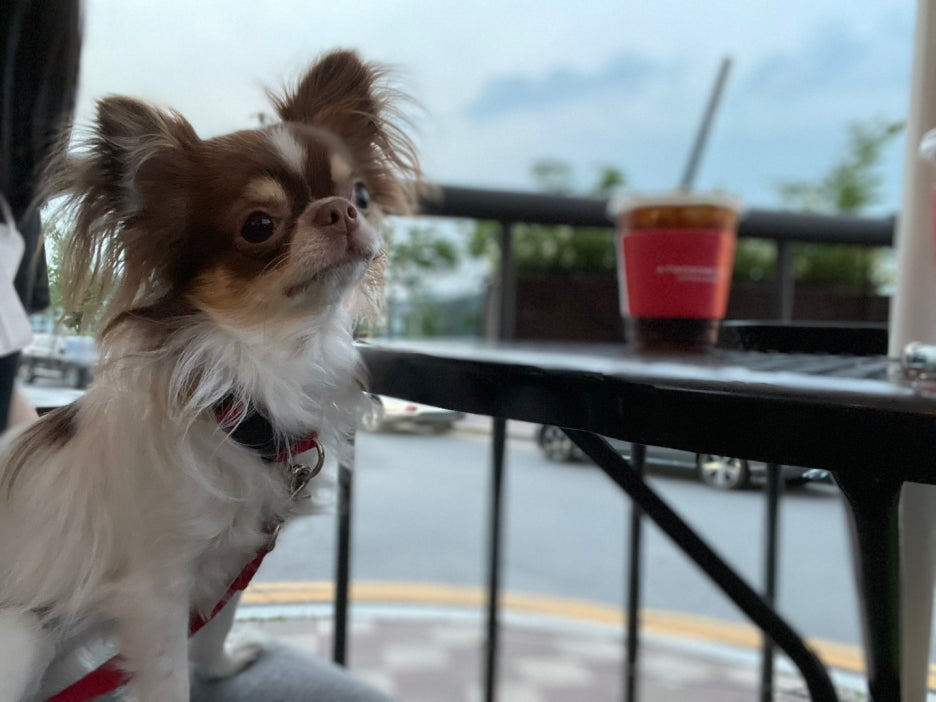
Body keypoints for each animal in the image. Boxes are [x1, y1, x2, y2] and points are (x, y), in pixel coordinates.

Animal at [0, 49, 418, 701]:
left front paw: (224, 666)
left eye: (361, 193)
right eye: (258, 225)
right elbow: (171, 677)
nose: (340, 209)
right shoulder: (154, 593)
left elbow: (216, 628)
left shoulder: (233, 559)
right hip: (22, 636)